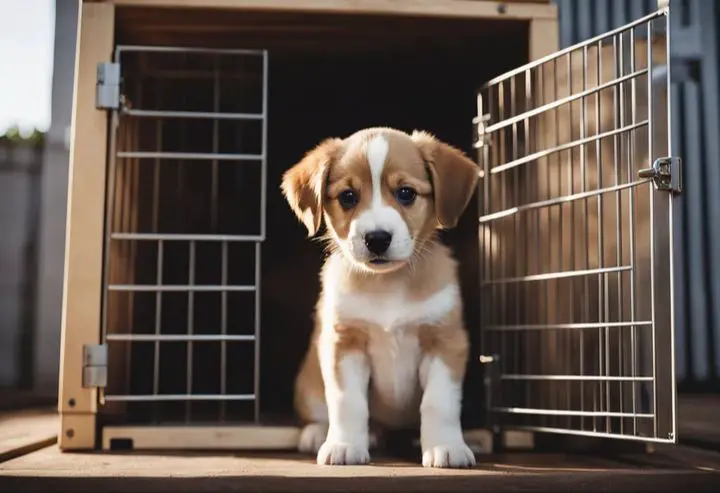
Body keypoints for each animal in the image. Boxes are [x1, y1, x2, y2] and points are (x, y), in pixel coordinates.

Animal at [282, 126, 478, 466]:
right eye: (348, 196)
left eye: (406, 193)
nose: (376, 238)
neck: (388, 285)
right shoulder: (344, 343)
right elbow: (347, 402)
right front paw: (345, 445)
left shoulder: (444, 342)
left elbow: (439, 403)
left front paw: (446, 446)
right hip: (308, 383)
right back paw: (320, 433)